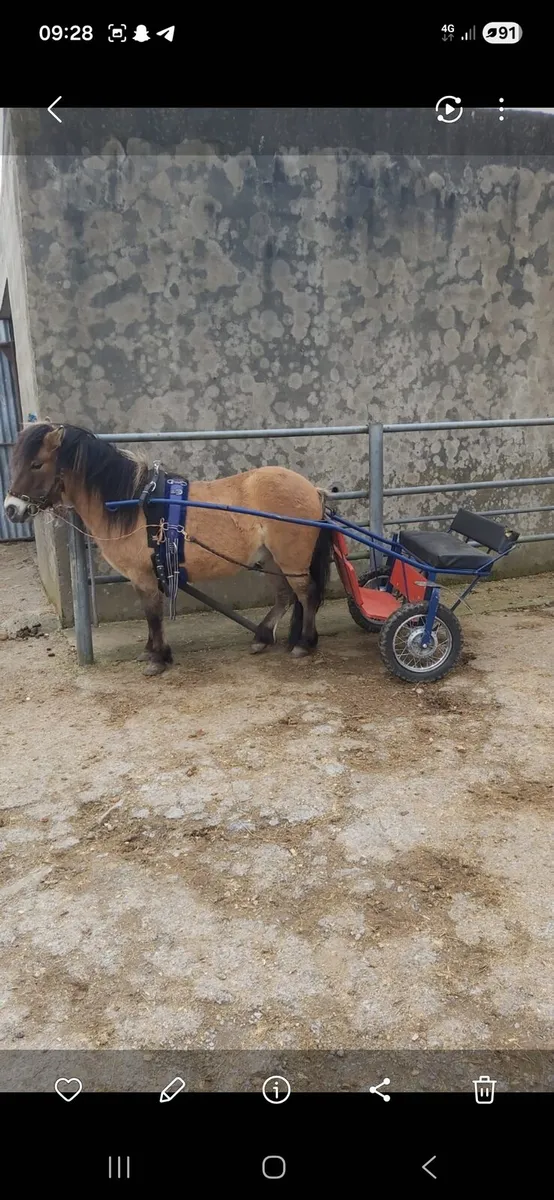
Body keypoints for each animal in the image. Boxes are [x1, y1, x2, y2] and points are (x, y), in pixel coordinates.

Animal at [4, 423, 332, 675]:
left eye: (37, 464)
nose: (10, 509)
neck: (134, 505)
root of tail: (312, 489)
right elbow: (150, 616)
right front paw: (151, 652)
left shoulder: (144, 576)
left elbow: (152, 615)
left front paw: (158, 659)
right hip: (272, 560)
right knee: (285, 596)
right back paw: (262, 637)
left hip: (291, 560)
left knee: (306, 594)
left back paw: (304, 643)